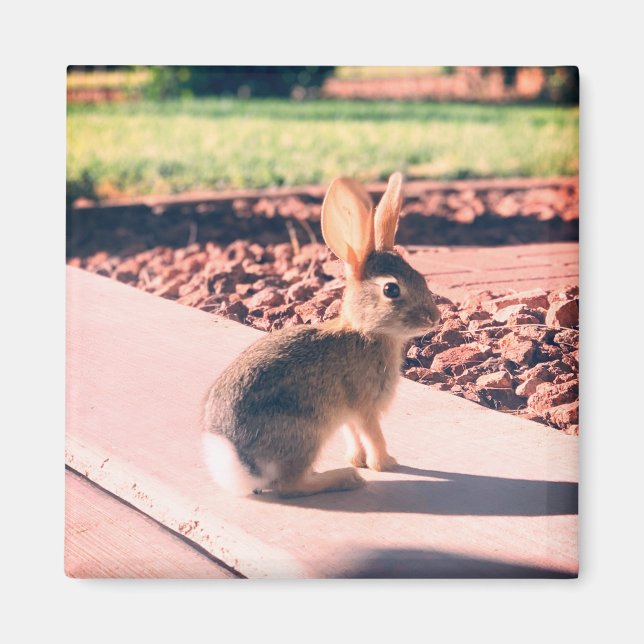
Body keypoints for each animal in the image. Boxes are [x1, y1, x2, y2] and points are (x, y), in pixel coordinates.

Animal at [202, 172, 441, 498]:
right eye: (392, 289)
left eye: (421, 277)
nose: (434, 318)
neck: (366, 331)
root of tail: (239, 466)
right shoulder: (366, 406)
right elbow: (373, 435)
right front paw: (385, 464)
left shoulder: (348, 414)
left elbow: (354, 435)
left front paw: (357, 460)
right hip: (305, 434)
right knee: (290, 485)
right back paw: (344, 479)